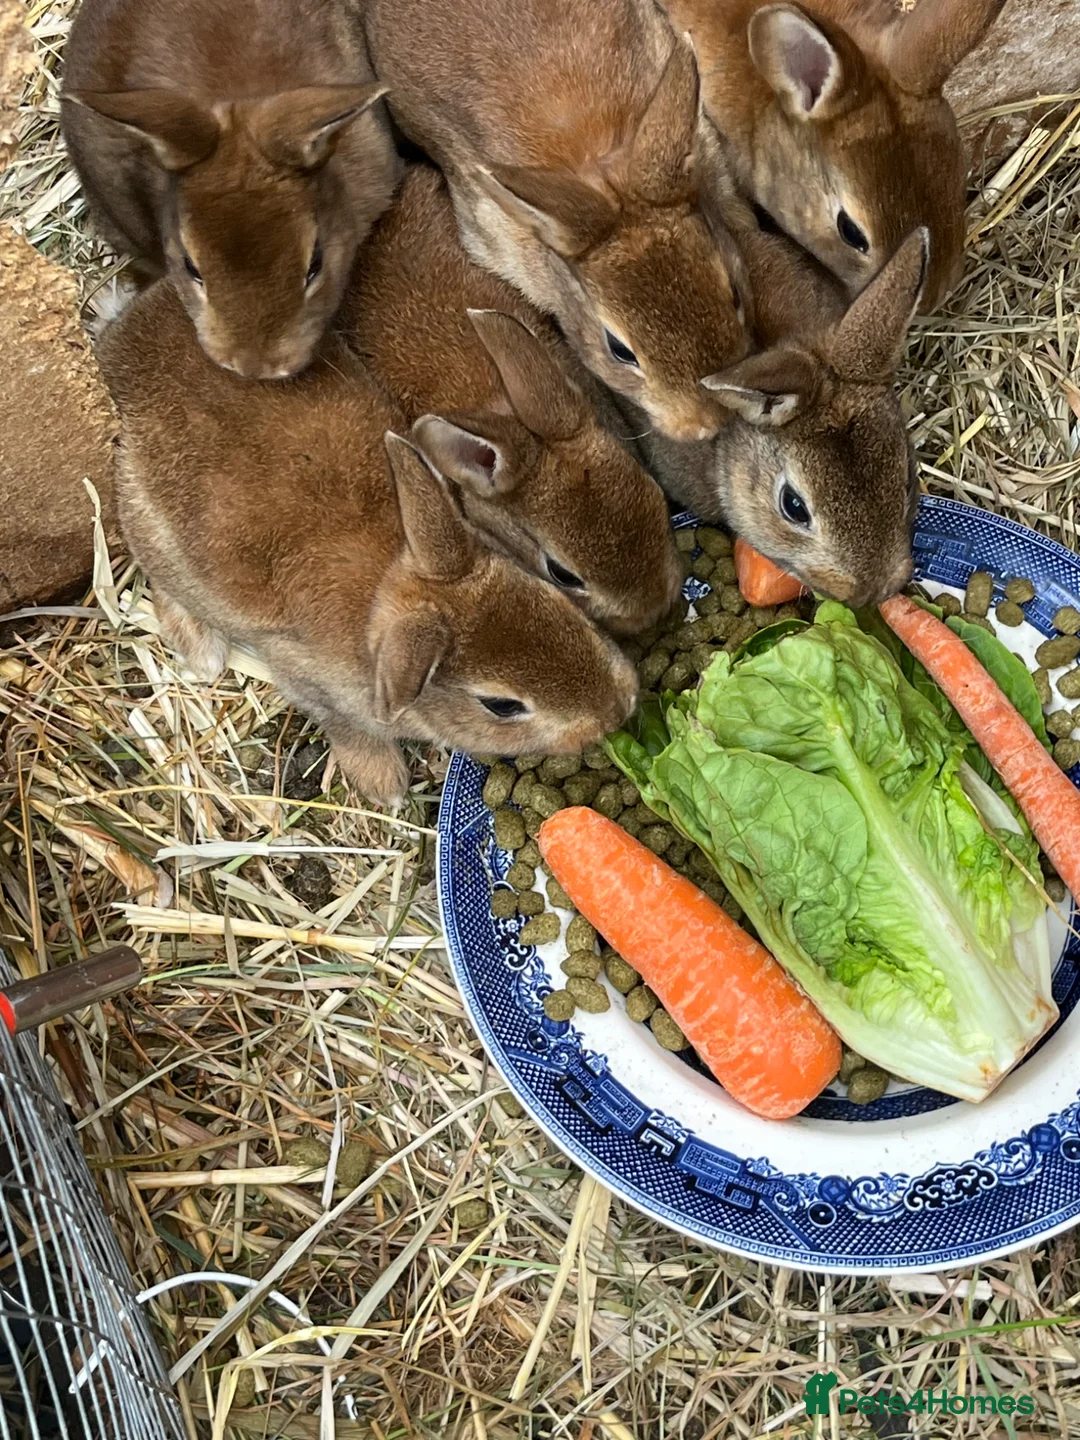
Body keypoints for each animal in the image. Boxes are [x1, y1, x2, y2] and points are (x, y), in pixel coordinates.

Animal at [95, 282, 639, 805]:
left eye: (551, 601)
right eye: (502, 705)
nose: (619, 708)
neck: (388, 586)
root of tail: (122, 340)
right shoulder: (314, 687)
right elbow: (346, 728)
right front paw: (385, 786)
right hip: (151, 531)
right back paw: (203, 653)